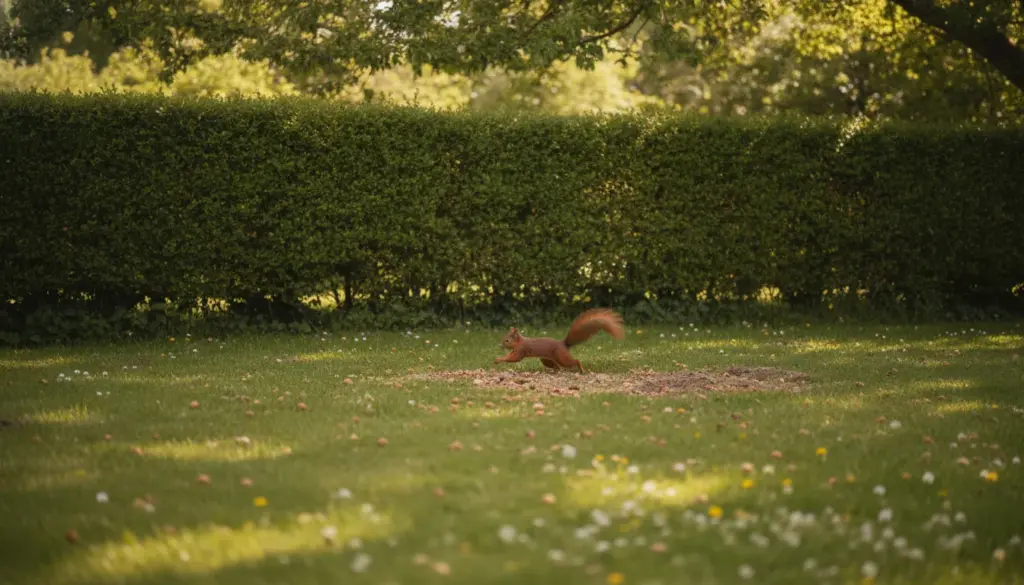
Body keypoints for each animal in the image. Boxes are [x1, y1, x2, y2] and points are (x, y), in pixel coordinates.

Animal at [493, 308, 625, 373]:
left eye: (507, 340)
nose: (500, 345)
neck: (520, 342)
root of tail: (563, 344)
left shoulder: (521, 349)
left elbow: (514, 359)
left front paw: (498, 359)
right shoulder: (515, 350)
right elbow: (510, 356)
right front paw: (497, 359)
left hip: (561, 356)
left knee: (574, 361)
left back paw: (581, 370)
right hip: (547, 359)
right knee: (557, 367)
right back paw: (553, 371)